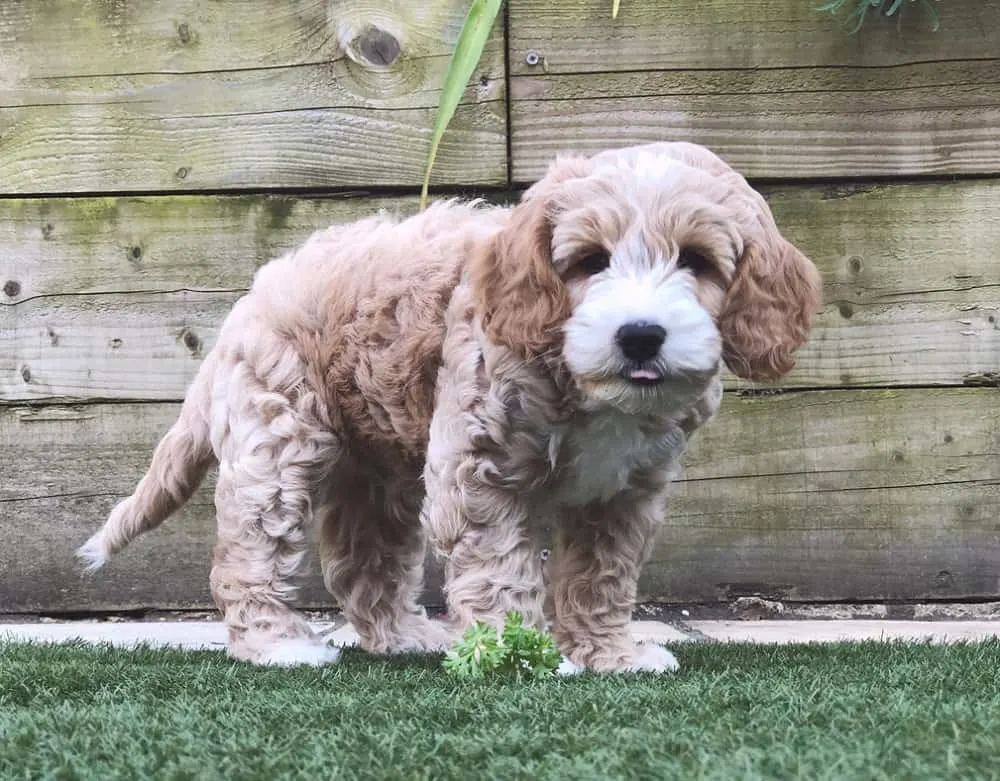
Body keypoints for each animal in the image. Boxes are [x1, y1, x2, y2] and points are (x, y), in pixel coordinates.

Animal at [80, 140, 820, 672]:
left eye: (696, 260)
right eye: (588, 261)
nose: (640, 334)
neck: (584, 385)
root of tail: (249, 300)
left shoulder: (624, 492)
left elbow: (601, 577)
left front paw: (609, 653)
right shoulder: (478, 466)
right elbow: (499, 568)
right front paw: (517, 655)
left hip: (375, 465)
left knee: (363, 556)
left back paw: (402, 636)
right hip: (279, 435)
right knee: (250, 548)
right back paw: (276, 644)